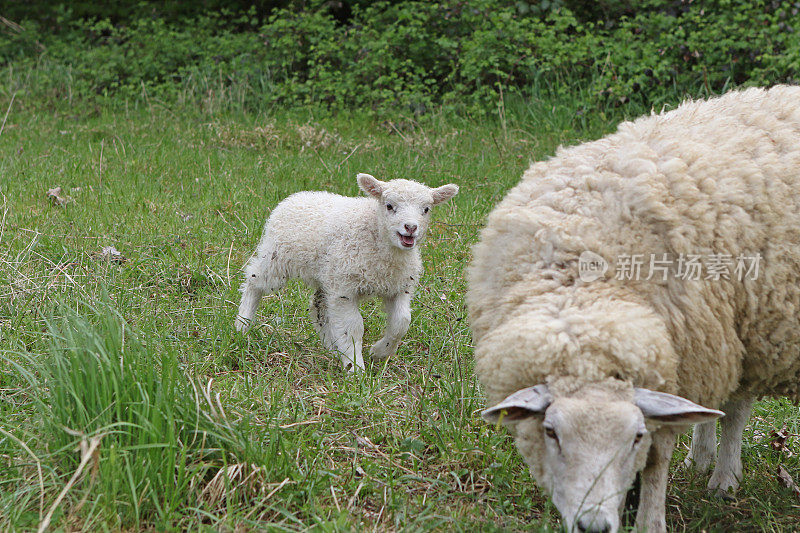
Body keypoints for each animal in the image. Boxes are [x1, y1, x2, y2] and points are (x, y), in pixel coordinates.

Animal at [236, 174, 456, 370]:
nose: (410, 227)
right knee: (254, 280)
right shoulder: (345, 290)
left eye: (426, 209)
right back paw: (242, 325)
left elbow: (401, 322)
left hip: (328, 275)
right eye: (389, 206)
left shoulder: (399, 287)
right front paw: (356, 370)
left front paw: (379, 352)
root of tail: (295, 197)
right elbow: (353, 328)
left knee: (319, 306)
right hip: (277, 259)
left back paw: (332, 347)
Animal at [466, 85, 800, 528]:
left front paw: (649, 521)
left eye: (634, 437)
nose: (593, 526)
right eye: (551, 432)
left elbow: (656, 463)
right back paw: (703, 460)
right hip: (738, 329)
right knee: (728, 402)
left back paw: (723, 479)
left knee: (736, 407)